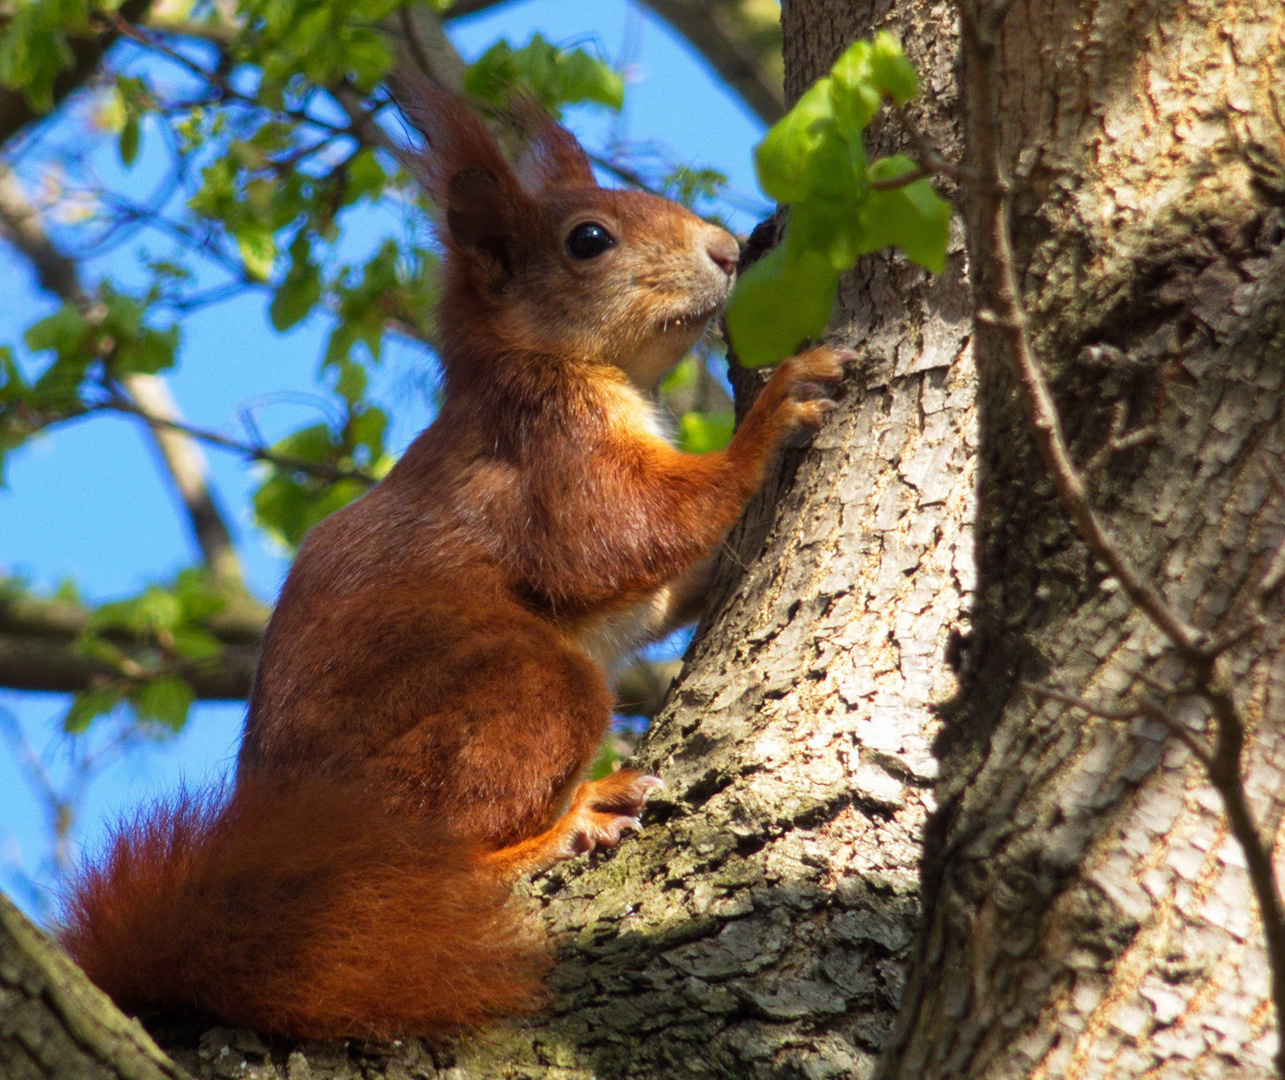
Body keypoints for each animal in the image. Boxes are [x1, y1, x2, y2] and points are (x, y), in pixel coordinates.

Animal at [60, 80, 848, 1044]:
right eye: (588, 239)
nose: (728, 249)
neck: (542, 363)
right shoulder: (548, 456)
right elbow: (623, 533)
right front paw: (774, 413)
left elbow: (651, 590)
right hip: (512, 705)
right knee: (455, 854)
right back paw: (569, 825)